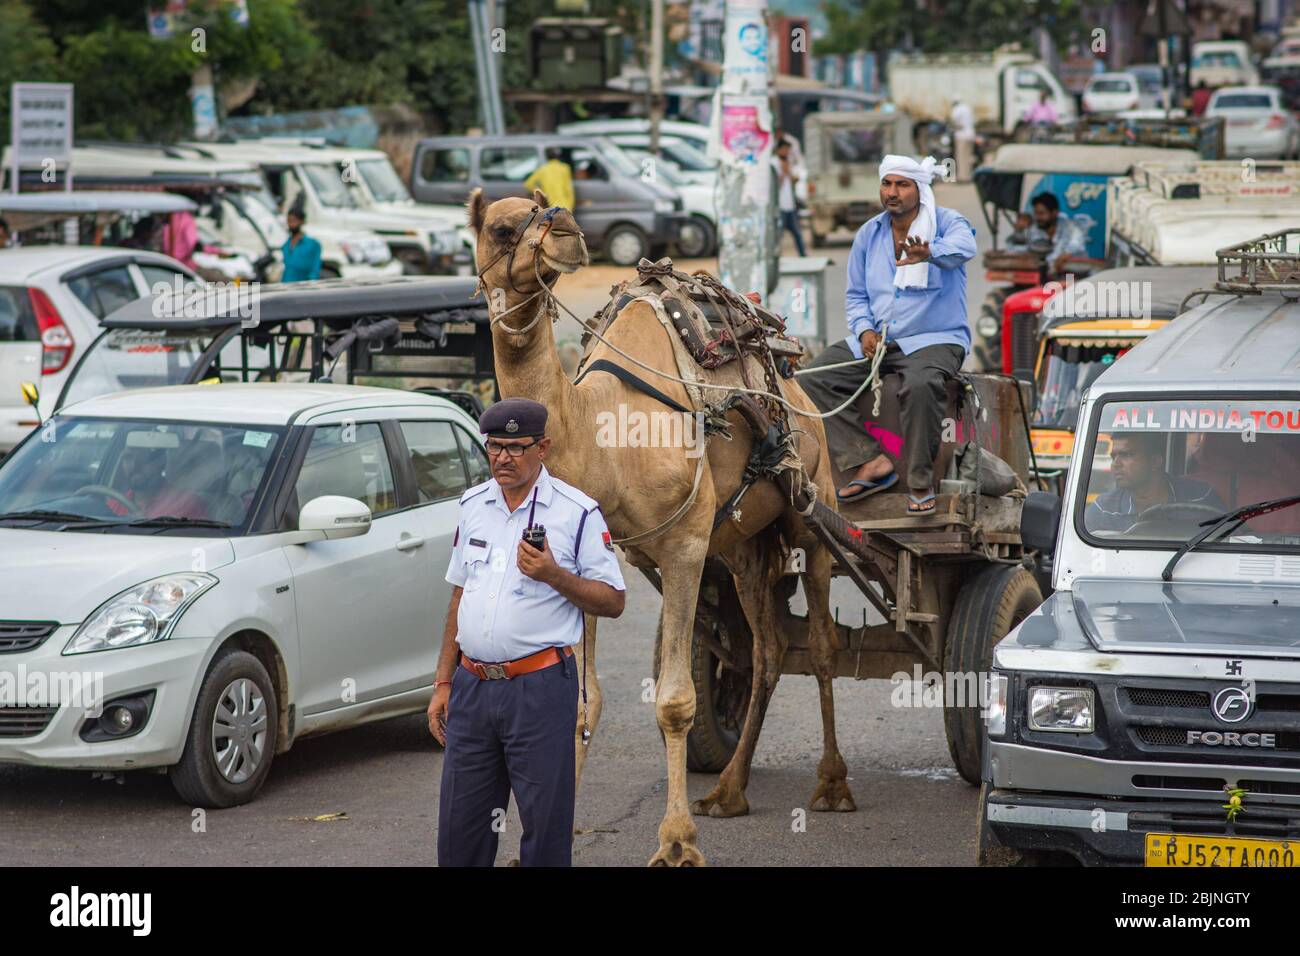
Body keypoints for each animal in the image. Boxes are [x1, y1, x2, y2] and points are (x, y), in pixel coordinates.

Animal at [468, 188, 856, 866]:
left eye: (543, 207)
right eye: (501, 227)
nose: (566, 229)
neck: (604, 434)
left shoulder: (683, 547)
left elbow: (675, 700)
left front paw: (677, 842)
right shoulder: (587, 565)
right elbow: (584, 700)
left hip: (811, 506)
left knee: (825, 644)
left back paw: (831, 784)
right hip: (742, 546)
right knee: (768, 648)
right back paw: (729, 790)